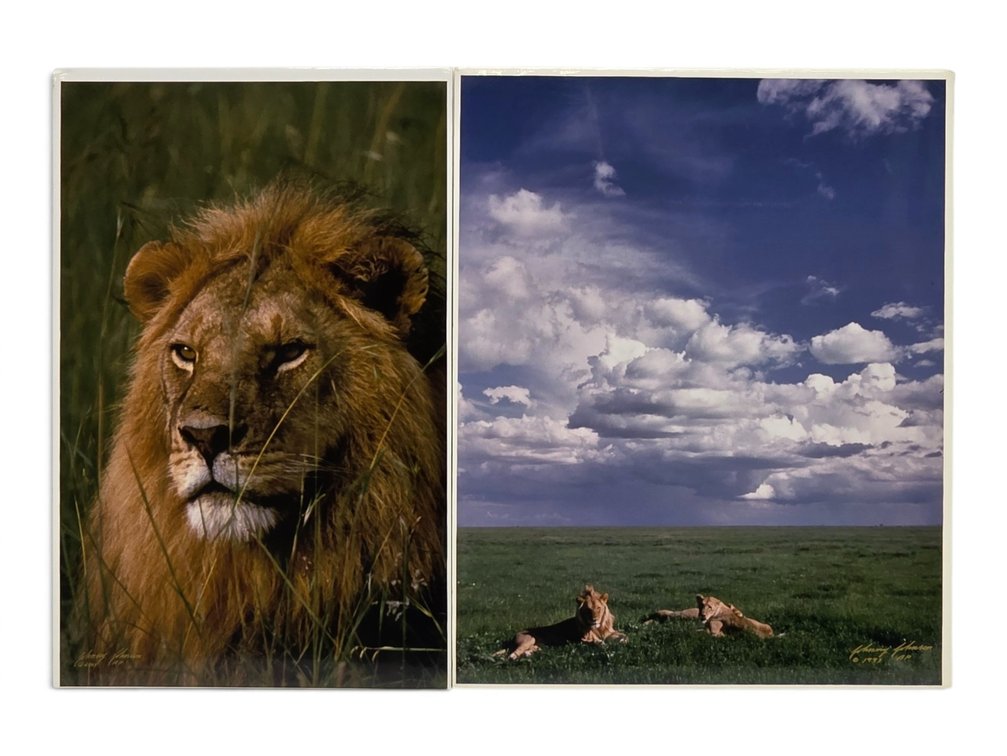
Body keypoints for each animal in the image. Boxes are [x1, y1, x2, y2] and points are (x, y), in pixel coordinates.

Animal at [497, 585, 628, 660]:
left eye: (598, 608)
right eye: (588, 610)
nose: (594, 620)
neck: (598, 628)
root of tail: (513, 636)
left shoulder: (609, 633)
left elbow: (625, 636)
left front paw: (622, 641)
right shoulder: (580, 640)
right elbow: (596, 642)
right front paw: (604, 644)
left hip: (536, 646)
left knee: (526, 652)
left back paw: (531, 654)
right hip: (529, 639)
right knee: (512, 654)